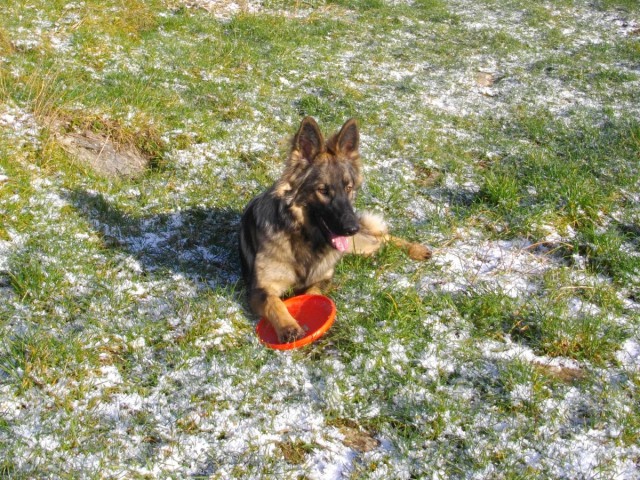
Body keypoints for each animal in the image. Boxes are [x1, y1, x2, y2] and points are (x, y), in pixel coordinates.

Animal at [239, 117, 430, 342]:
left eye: (348, 188)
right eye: (323, 190)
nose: (352, 227)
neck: (305, 238)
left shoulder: (323, 278)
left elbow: (312, 293)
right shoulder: (259, 290)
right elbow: (274, 302)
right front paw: (288, 326)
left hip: (359, 244)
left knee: (381, 237)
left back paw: (415, 249)